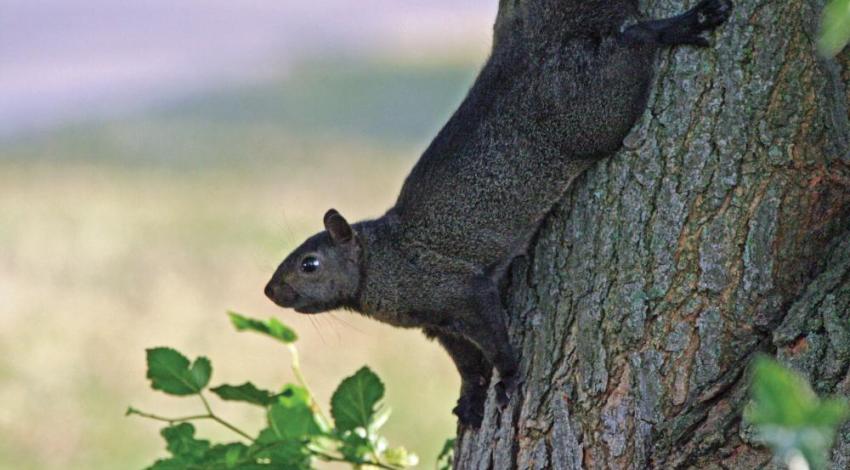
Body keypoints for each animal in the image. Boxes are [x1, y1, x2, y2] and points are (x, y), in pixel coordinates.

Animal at [265, 0, 733, 428]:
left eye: (309, 264)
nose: (270, 292)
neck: (382, 261)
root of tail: (534, 50)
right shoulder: (438, 326)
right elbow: (469, 365)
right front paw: (472, 400)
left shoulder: (462, 292)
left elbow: (493, 341)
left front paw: (507, 377)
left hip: (595, 112)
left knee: (629, 45)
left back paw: (680, 25)